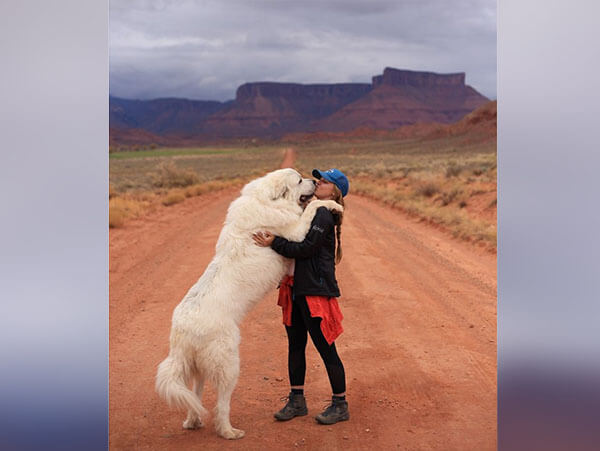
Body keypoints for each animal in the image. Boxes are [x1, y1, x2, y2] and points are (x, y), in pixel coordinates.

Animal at [155, 168, 342, 440]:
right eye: (299, 180)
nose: (316, 181)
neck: (267, 201)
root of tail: (182, 331)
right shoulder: (296, 232)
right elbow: (311, 208)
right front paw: (332, 205)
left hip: (198, 366)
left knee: (195, 395)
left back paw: (194, 420)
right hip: (229, 363)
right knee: (221, 404)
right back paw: (228, 431)